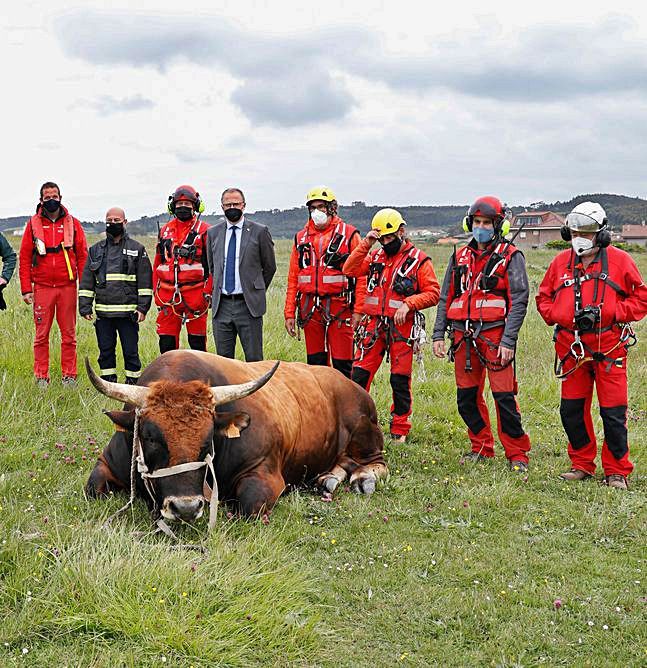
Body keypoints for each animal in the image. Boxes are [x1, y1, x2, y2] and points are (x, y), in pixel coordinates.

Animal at [86, 350, 390, 520]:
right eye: (149, 437)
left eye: (209, 438)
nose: (185, 507)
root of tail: (350, 383)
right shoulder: (107, 463)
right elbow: (93, 488)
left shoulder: (264, 475)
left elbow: (248, 506)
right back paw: (328, 479)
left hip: (364, 434)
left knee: (375, 462)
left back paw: (363, 478)